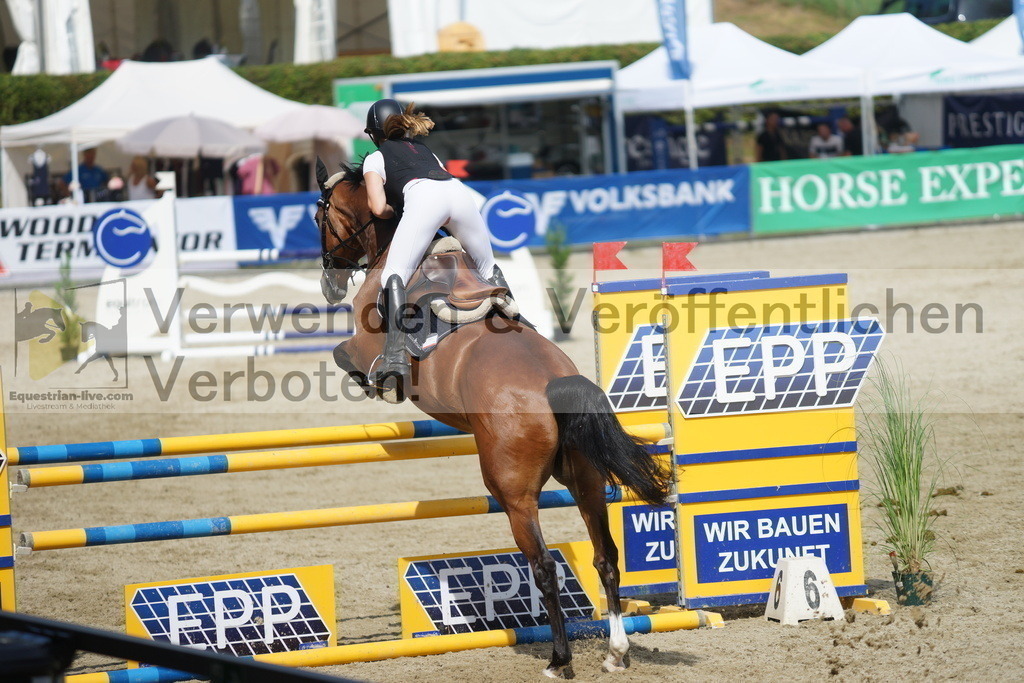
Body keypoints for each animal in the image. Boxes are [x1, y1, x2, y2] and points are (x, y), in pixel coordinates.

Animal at [313, 160, 671, 679]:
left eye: (320, 217)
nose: (330, 283)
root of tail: (555, 384)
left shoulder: (360, 346)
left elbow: (348, 359)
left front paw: (376, 381)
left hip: (514, 494)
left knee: (544, 566)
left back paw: (559, 660)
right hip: (586, 479)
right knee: (605, 556)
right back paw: (615, 652)